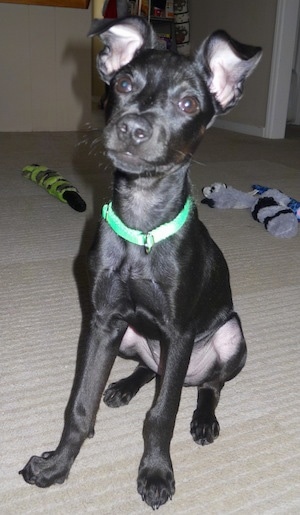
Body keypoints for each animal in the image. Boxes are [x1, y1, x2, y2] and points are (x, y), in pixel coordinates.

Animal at [20, 16, 260, 512]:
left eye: (189, 103)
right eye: (125, 83)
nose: (132, 129)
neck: (142, 226)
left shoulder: (179, 332)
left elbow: (161, 414)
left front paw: (155, 473)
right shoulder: (103, 322)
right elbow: (80, 405)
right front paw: (57, 466)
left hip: (230, 336)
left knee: (209, 386)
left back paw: (204, 419)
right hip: (132, 338)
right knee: (152, 368)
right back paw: (123, 387)